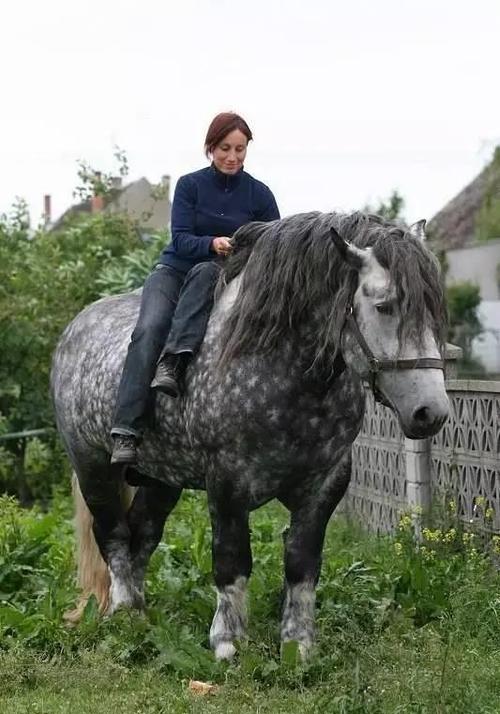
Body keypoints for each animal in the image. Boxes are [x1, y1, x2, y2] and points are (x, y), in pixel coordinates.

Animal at [51, 211, 449, 660]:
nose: (430, 412)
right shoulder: (227, 483)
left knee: (143, 533)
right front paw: (227, 642)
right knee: (114, 534)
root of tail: (72, 332)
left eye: (434, 308)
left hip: (160, 479)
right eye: (384, 306)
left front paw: (298, 645)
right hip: (93, 466)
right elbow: (231, 561)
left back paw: (140, 612)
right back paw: (123, 613)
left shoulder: (324, 486)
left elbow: (302, 564)